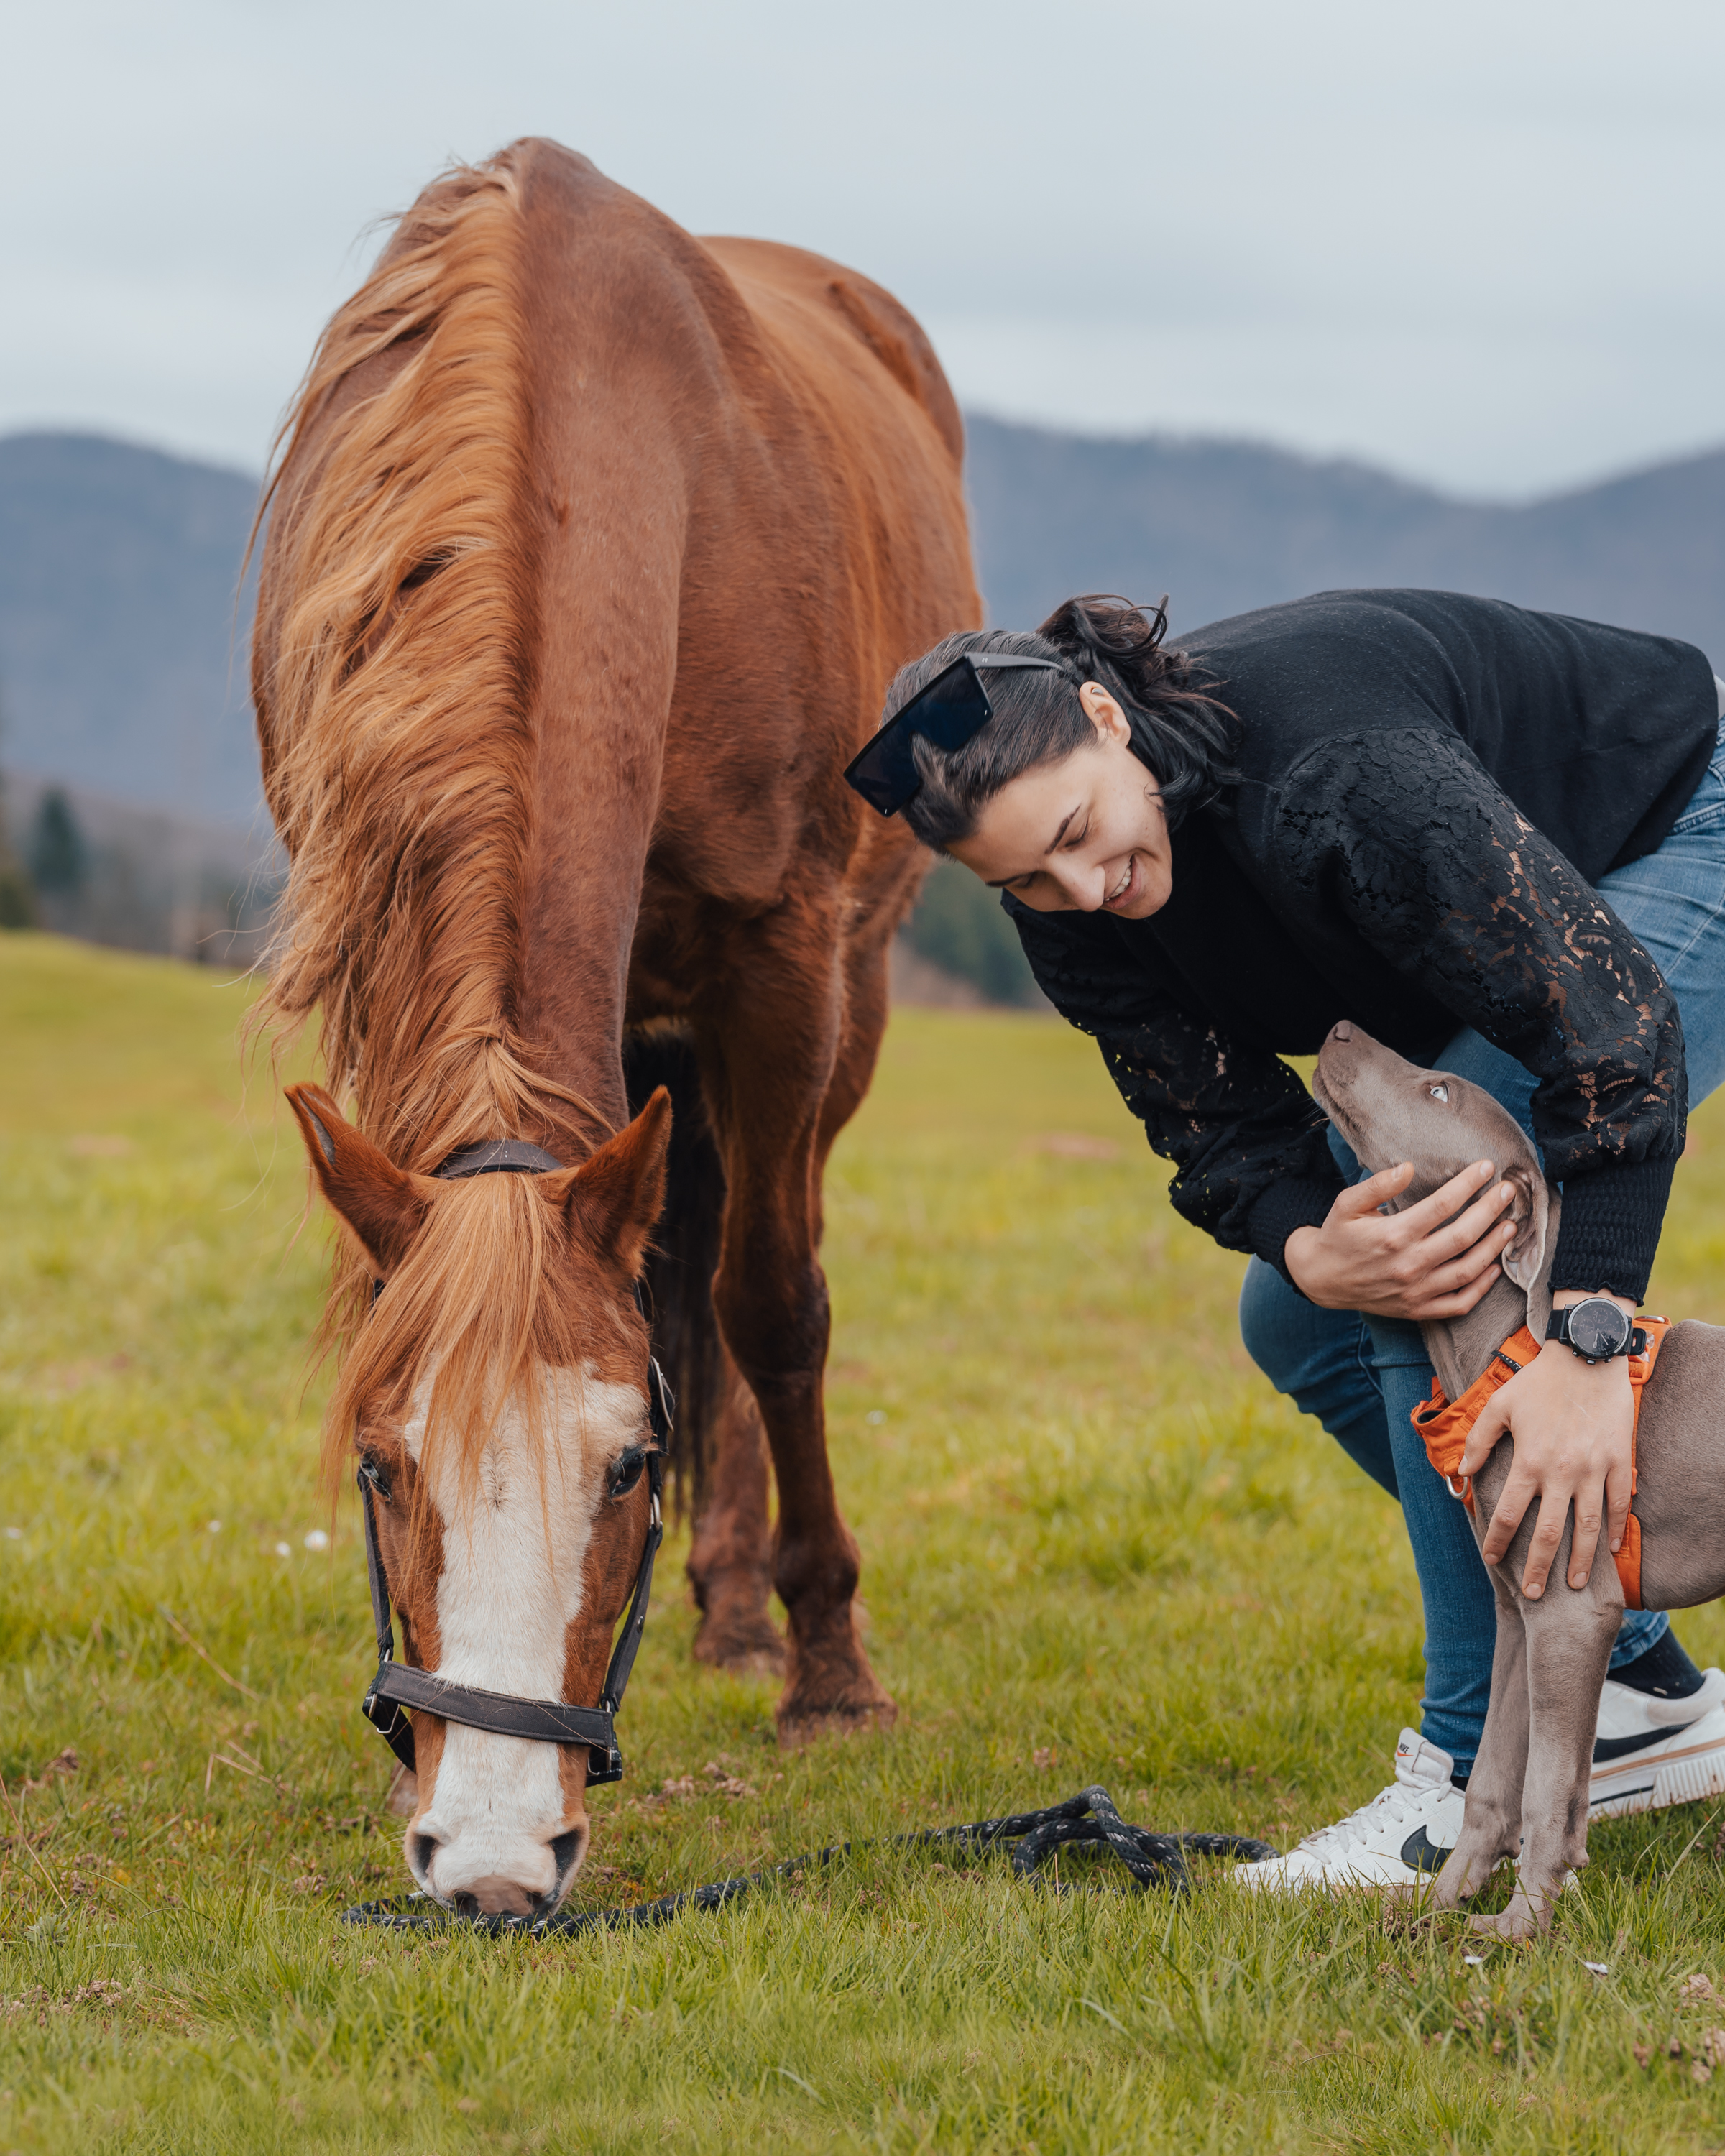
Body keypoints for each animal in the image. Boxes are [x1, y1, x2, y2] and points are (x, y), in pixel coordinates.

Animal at [250, 139, 978, 1917]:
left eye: (627, 1469)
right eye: (381, 1465)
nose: (493, 1864)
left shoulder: (784, 967)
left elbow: (773, 1307)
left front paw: (830, 1669)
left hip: (834, 1009)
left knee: (745, 1269)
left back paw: (753, 1612)